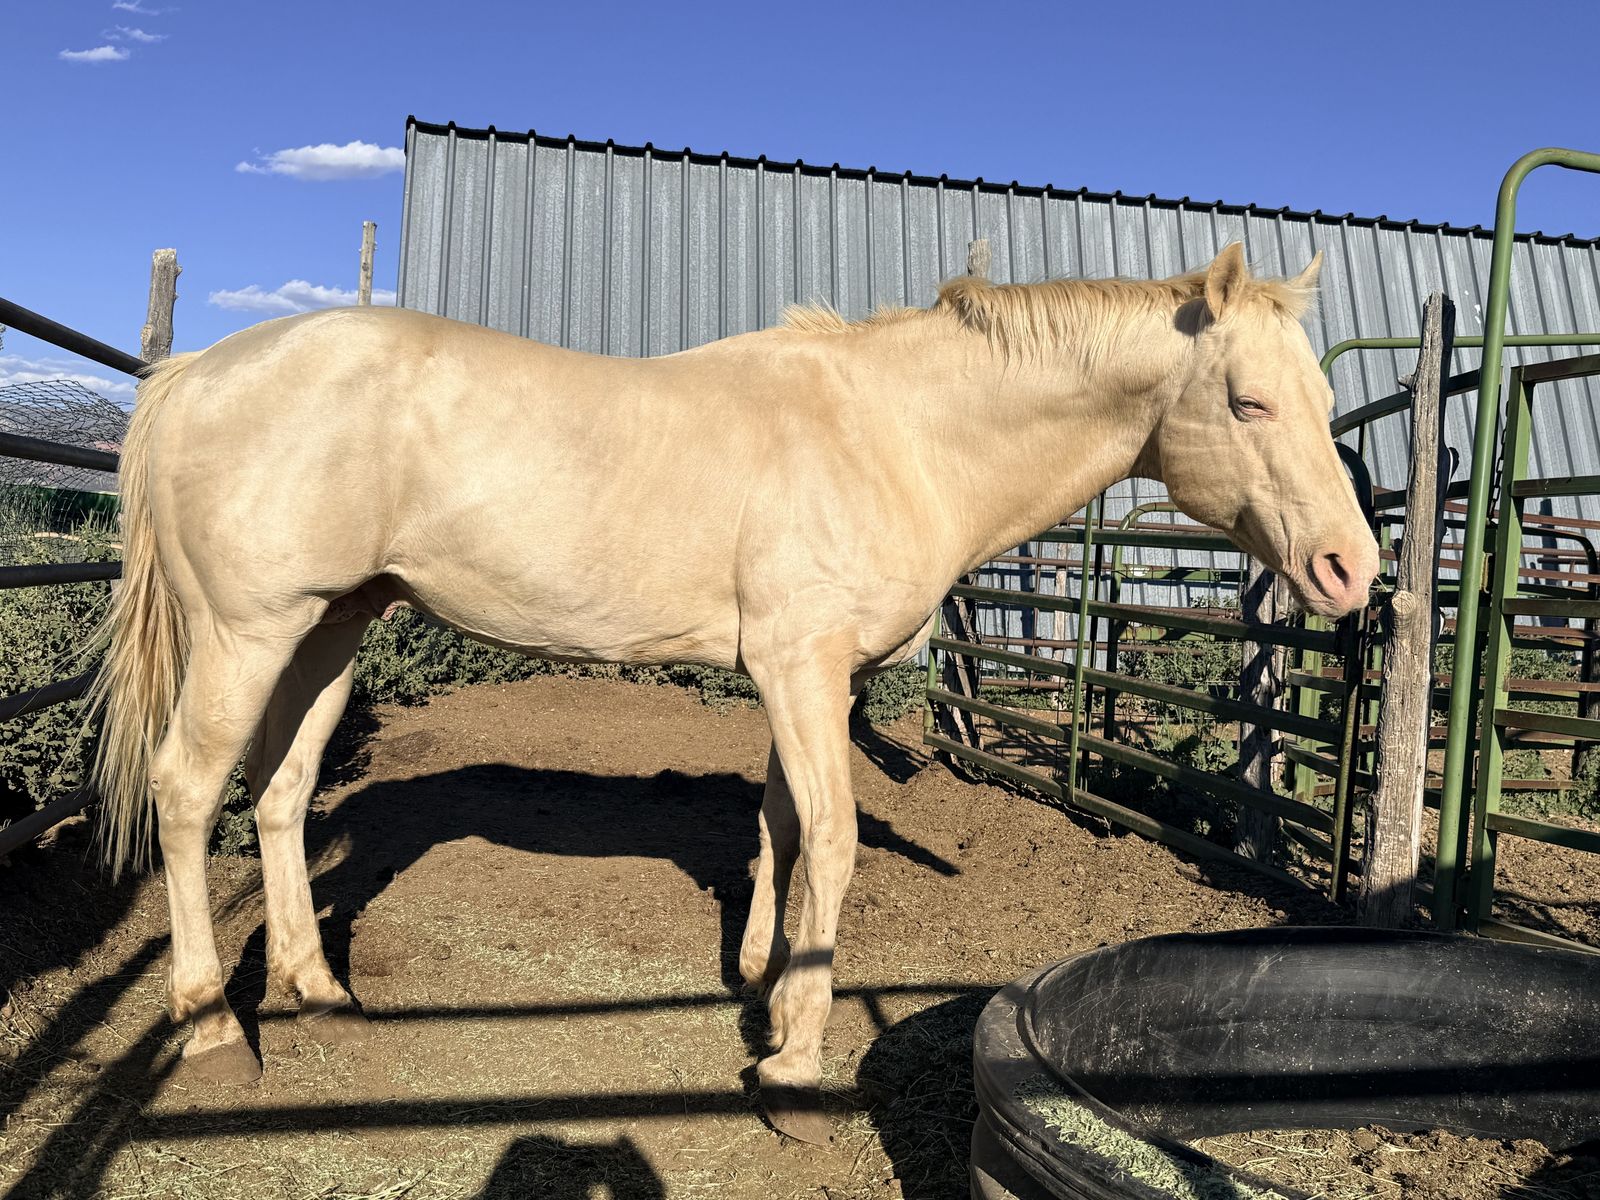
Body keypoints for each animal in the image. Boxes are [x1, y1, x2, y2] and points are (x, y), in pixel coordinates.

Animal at [88, 242, 1378, 1143]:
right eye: (1248, 402)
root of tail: (195, 371)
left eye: (1320, 403)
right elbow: (838, 837)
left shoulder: (807, 676)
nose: (1350, 571)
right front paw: (794, 1063)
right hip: (249, 634)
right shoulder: (801, 667)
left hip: (330, 630)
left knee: (282, 793)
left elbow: (782, 824)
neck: (895, 435)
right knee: (188, 791)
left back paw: (316, 989)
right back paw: (214, 1030)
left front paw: (760, 979)